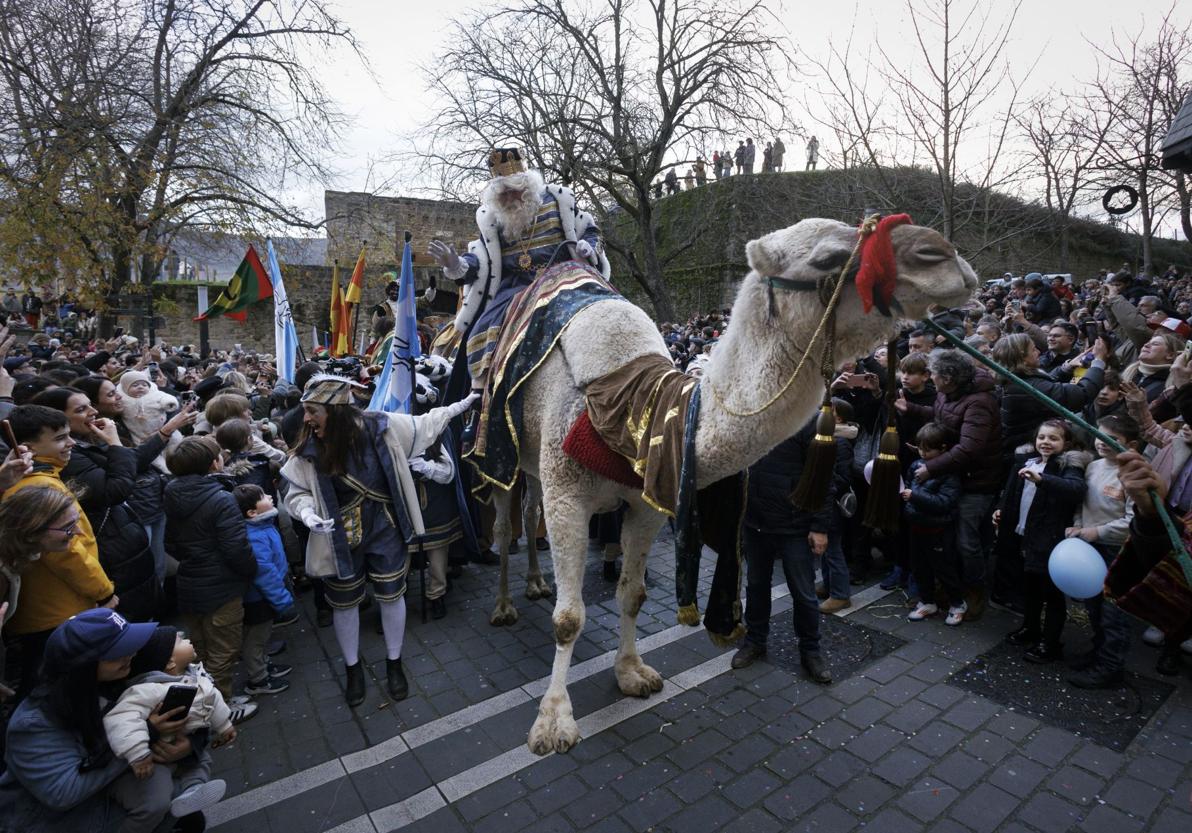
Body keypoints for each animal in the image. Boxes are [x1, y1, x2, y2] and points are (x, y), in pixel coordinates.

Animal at [479, 218, 972, 753]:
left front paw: (632, 673)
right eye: (826, 258)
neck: (635, 406)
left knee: (529, 512)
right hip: (500, 451)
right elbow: (569, 618)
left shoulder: (647, 501)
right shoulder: (568, 493)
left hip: (534, 466)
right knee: (505, 524)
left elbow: (632, 594)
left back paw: (535, 582)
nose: (944, 256)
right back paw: (503, 605)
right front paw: (553, 723)